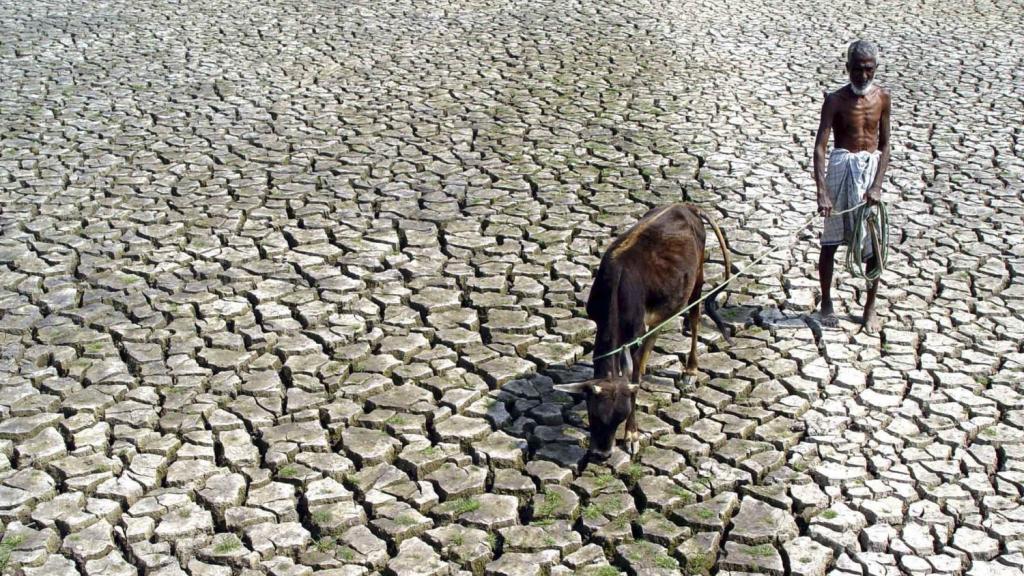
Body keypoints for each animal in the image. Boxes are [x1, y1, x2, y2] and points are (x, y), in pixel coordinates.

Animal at [554, 203, 733, 460]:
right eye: (593, 414)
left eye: (620, 418)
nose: (601, 455)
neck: (618, 289)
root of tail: (687, 206)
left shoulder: (635, 333)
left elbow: (634, 376)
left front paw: (632, 436)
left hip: (697, 279)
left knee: (695, 318)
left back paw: (690, 371)